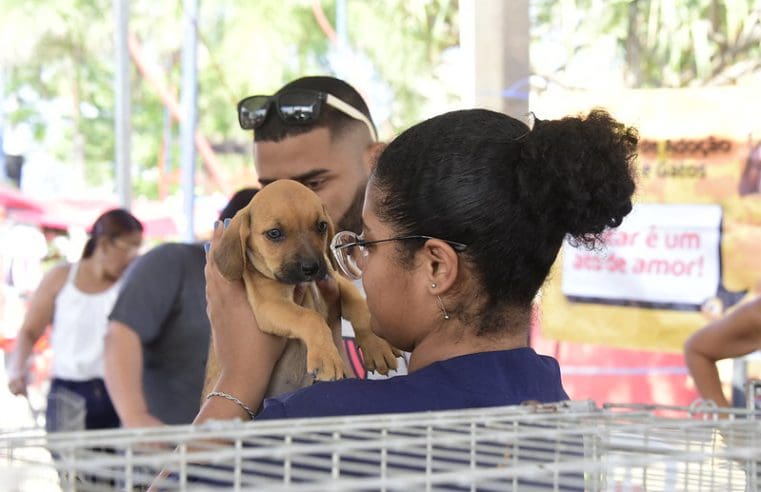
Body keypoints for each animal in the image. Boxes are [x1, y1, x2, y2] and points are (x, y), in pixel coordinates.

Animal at [205, 179, 400, 398]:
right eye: (274, 233)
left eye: (322, 226)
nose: (311, 268)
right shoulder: (269, 304)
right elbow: (310, 317)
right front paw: (327, 357)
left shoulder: (334, 278)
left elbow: (359, 305)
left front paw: (376, 346)